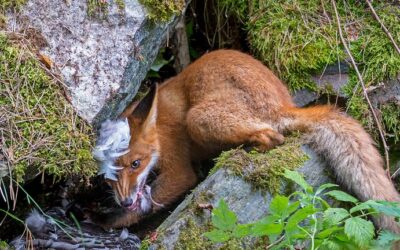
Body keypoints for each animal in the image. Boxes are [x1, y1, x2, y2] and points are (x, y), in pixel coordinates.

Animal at [93, 49, 400, 232]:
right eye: (109, 177)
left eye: (136, 163)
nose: (124, 201)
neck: (160, 130)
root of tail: (282, 104)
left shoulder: (179, 169)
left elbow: (154, 199)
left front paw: (107, 221)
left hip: (199, 118)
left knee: (272, 135)